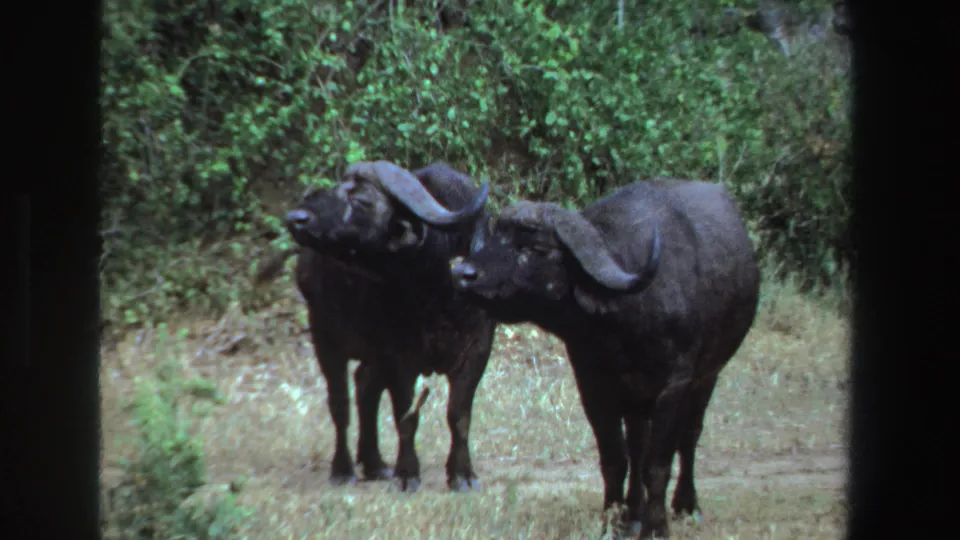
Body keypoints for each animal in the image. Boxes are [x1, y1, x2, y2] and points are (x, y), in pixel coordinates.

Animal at [264, 160, 497, 492]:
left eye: (362, 199)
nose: (297, 218)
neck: (440, 289)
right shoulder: (399, 354)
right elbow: (406, 415)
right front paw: (408, 473)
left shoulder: (478, 349)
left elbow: (459, 415)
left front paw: (463, 475)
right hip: (325, 337)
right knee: (340, 404)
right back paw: (343, 469)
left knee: (365, 386)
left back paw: (374, 463)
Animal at [450, 178, 761, 537]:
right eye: (495, 237)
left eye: (534, 248)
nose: (464, 273)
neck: (622, 323)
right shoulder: (593, 384)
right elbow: (615, 459)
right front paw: (613, 521)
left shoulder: (675, 385)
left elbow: (658, 463)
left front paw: (657, 526)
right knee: (638, 445)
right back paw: (635, 512)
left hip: (708, 377)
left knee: (689, 435)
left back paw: (686, 505)